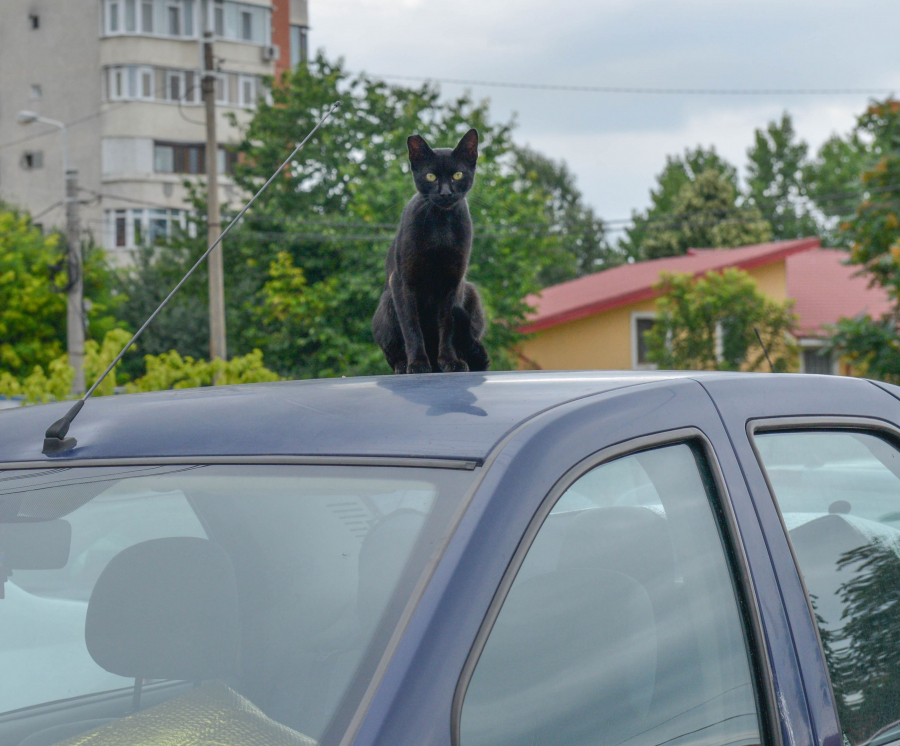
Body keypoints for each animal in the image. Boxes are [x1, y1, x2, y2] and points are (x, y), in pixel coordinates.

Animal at [372, 129, 488, 374]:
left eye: (457, 175)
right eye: (431, 177)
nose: (445, 193)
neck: (440, 226)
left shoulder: (453, 282)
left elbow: (448, 325)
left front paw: (450, 361)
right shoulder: (403, 282)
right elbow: (411, 327)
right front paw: (417, 364)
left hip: (471, 294)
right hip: (386, 304)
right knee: (393, 353)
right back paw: (405, 365)